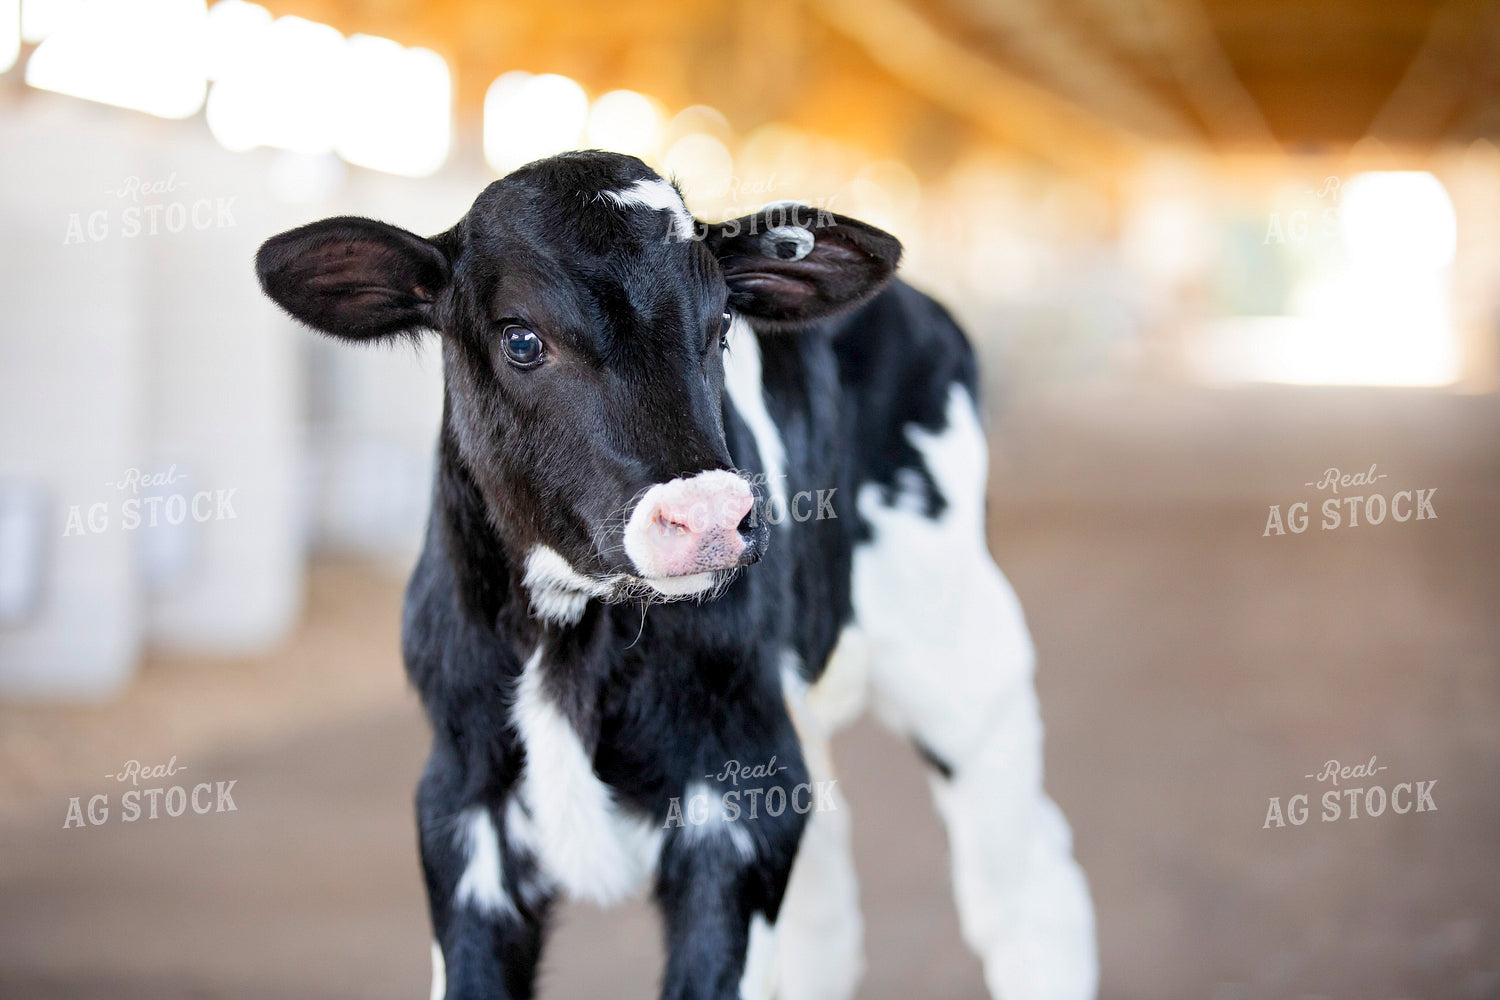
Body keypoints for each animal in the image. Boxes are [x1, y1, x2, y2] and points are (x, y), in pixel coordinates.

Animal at [255, 150, 1096, 1000]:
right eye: (521, 339)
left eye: (722, 325)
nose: (711, 515)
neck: (573, 645)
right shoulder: (460, 801)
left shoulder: (739, 797)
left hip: (960, 653)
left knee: (1025, 890)